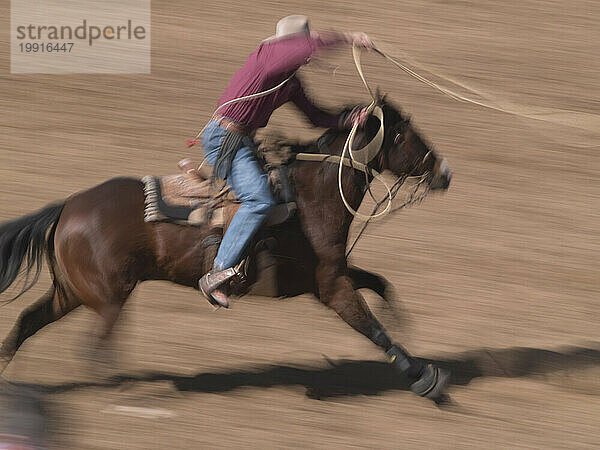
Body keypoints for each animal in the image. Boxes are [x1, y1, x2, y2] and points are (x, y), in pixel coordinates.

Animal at [0, 100, 452, 402]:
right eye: (403, 134)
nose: (444, 172)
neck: (309, 196)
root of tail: (68, 207)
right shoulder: (332, 286)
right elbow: (371, 327)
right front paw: (425, 377)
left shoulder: (331, 273)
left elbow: (380, 284)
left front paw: (405, 325)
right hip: (109, 297)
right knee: (94, 348)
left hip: (73, 292)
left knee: (28, 321)